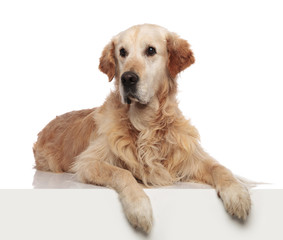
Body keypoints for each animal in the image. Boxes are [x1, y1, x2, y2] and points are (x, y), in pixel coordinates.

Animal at [32, 23, 252, 232]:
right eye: (122, 52)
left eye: (151, 50)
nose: (128, 78)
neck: (146, 124)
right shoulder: (88, 162)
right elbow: (123, 173)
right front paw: (140, 209)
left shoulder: (190, 157)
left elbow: (221, 168)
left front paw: (238, 194)